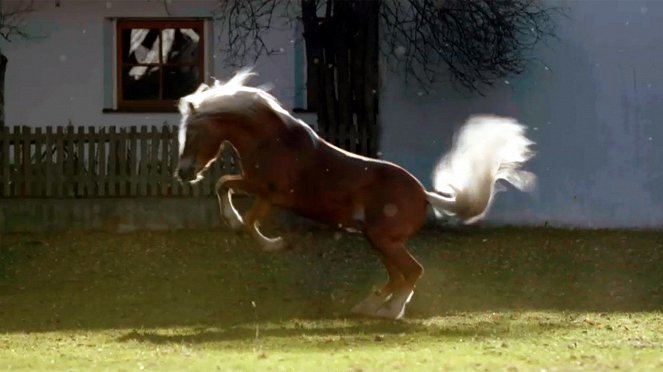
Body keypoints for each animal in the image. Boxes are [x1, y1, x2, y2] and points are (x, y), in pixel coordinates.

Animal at [175, 70, 536, 320]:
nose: (183, 172)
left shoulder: (270, 193)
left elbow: (244, 212)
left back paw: (389, 311)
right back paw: (369, 305)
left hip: (384, 239)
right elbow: (226, 186)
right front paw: (235, 222)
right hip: (376, 240)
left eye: (193, 133)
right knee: (399, 275)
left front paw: (266, 240)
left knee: (412, 272)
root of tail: (423, 193)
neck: (271, 141)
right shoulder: (258, 187)